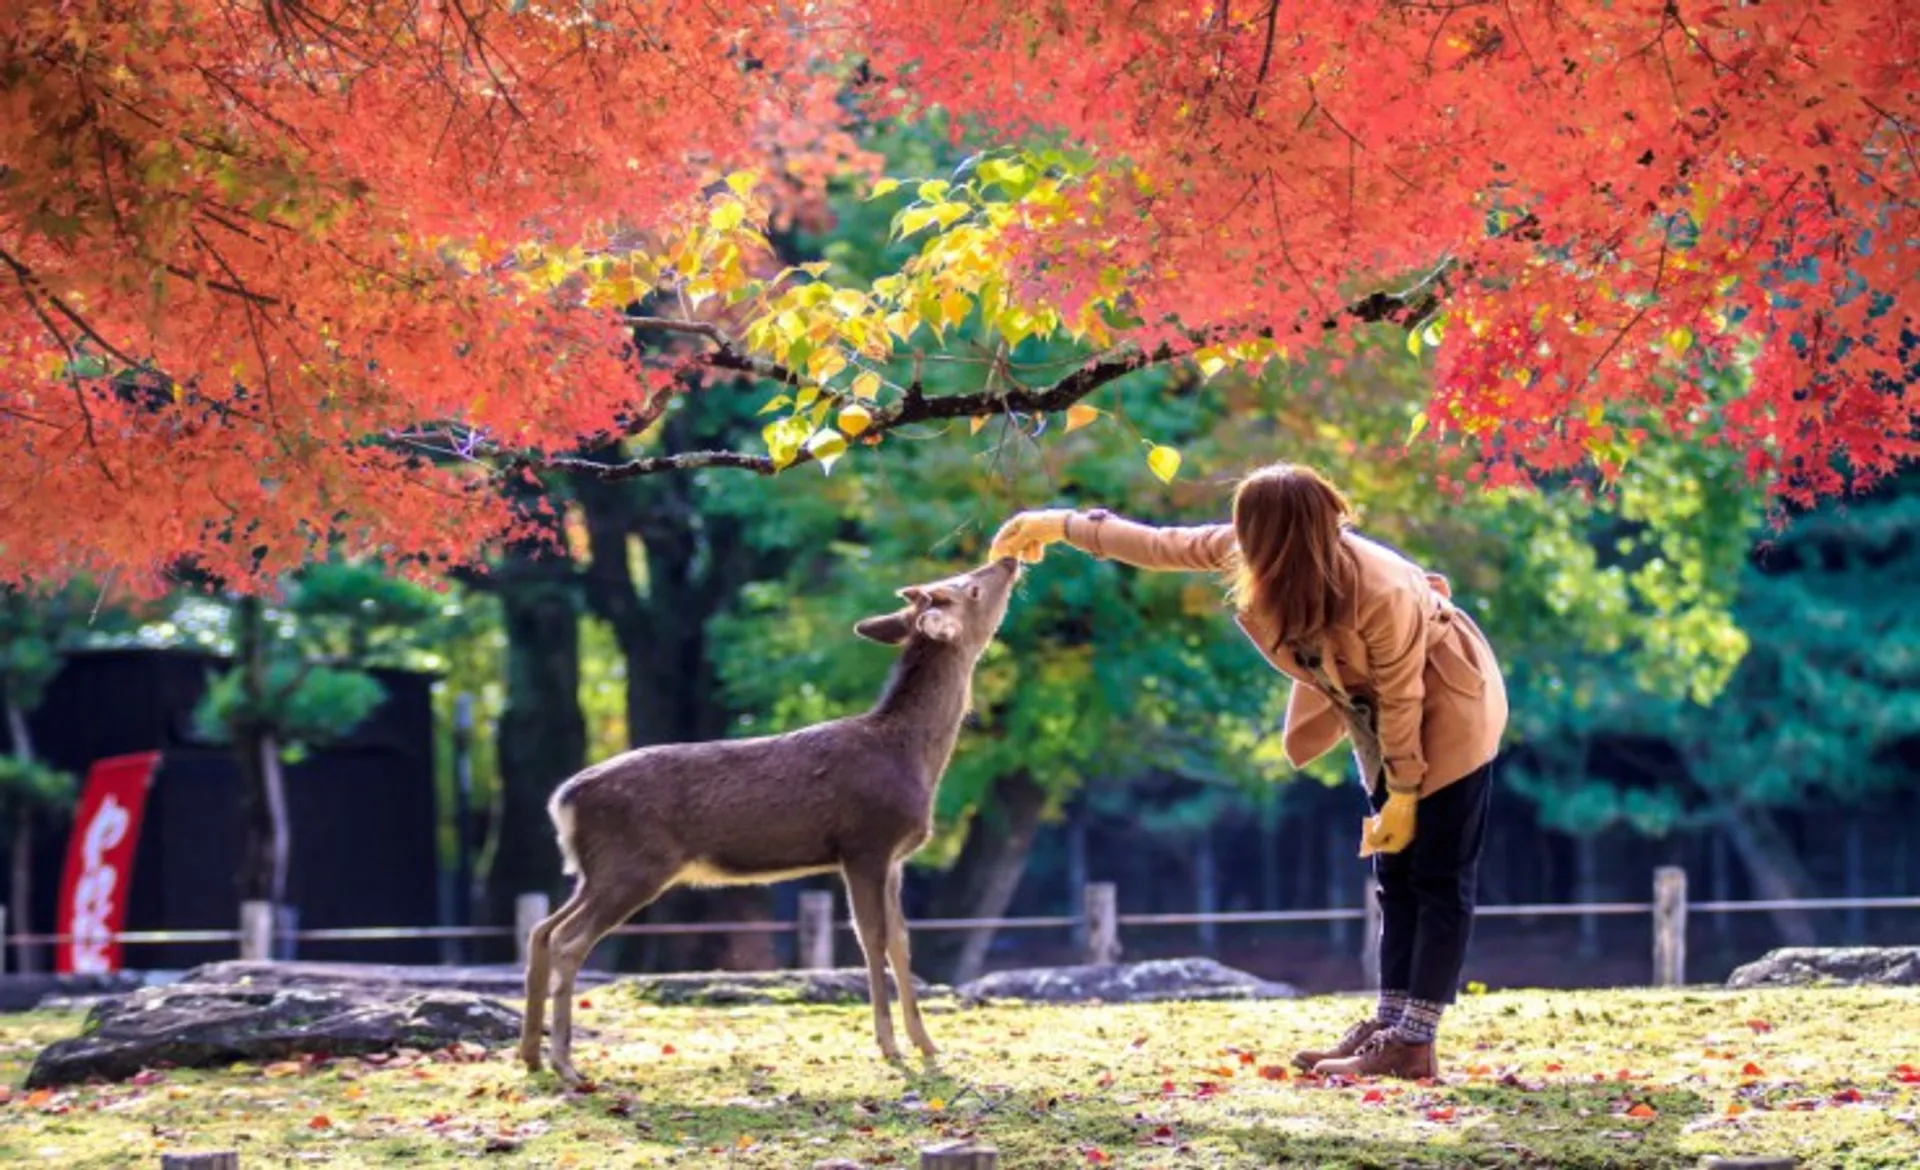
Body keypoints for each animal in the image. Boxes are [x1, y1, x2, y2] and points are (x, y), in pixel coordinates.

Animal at [519, 555, 1023, 1084]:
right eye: (970, 588)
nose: (1008, 560)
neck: (914, 758)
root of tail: (562, 800)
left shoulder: (895, 857)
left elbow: (902, 941)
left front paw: (927, 1044)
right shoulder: (865, 842)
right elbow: (872, 939)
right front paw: (890, 1048)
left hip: (597, 870)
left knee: (542, 931)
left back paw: (531, 1054)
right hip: (634, 863)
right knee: (569, 940)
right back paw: (565, 1063)